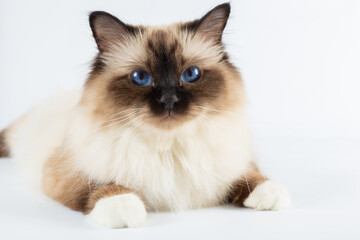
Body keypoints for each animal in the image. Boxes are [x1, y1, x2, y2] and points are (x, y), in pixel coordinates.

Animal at [0, 3, 290, 229]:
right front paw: (123, 205)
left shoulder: (231, 160)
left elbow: (250, 174)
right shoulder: (66, 171)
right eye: (141, 78)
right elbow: (98, 186)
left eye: (191, 74)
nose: (169, 100)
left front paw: (270, 193)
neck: (169, 146)